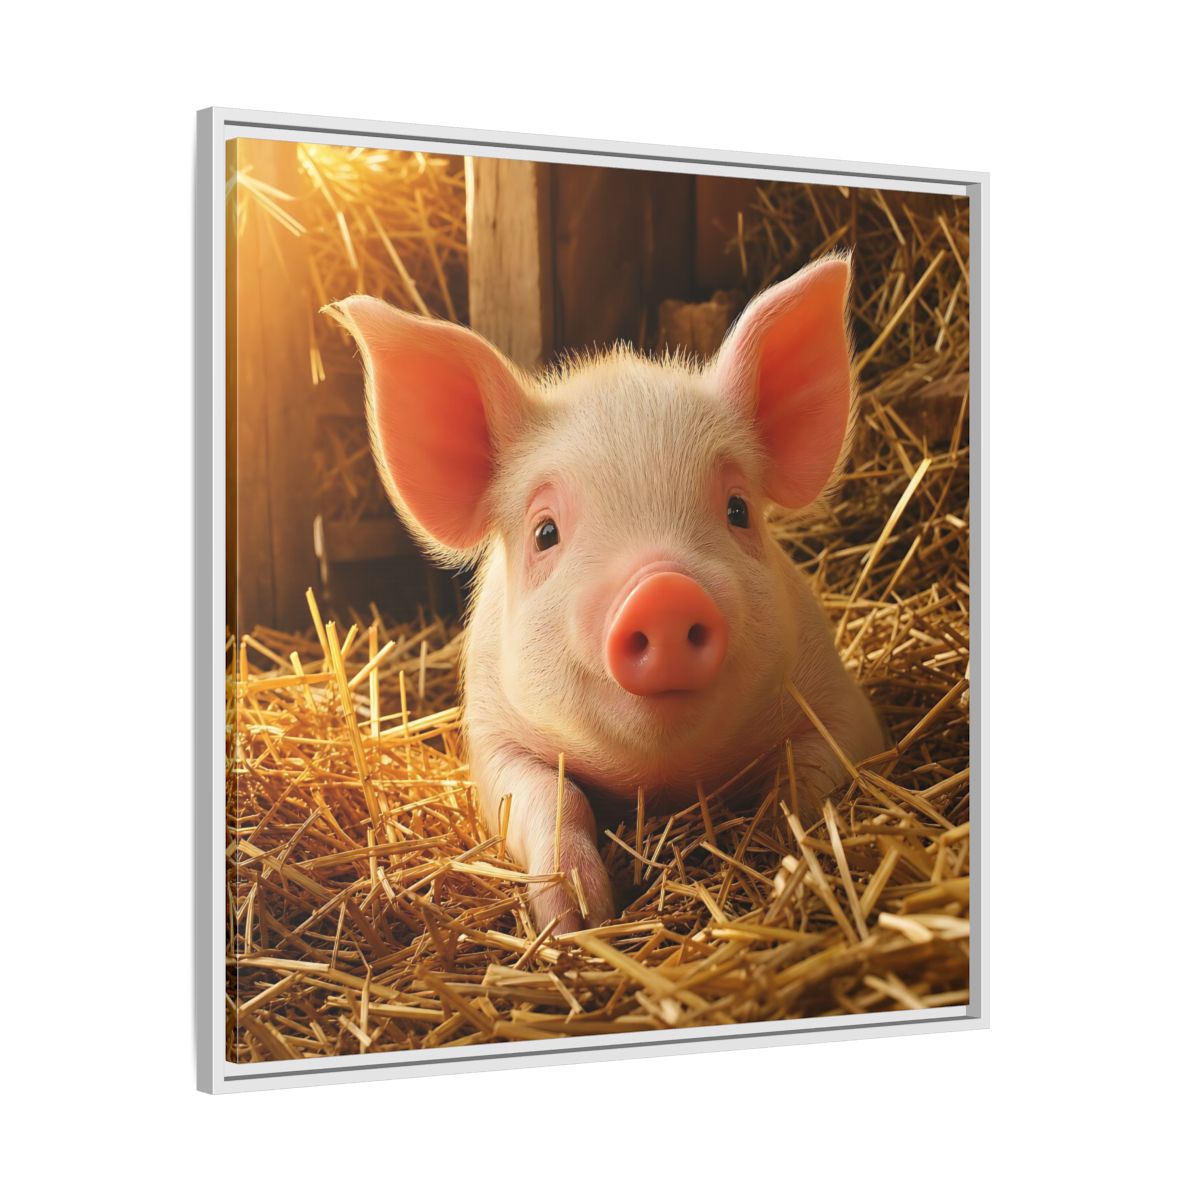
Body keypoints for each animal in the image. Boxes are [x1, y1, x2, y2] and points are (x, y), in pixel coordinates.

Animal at [327, 254, 884, 934]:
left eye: (738, 509)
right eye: (545, 532)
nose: (663, 592)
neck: (661, 779)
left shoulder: (841, 704)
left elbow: (805, 777)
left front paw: (782, 855)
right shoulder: (491, 735)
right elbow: (551, 797)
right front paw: (577, 921)